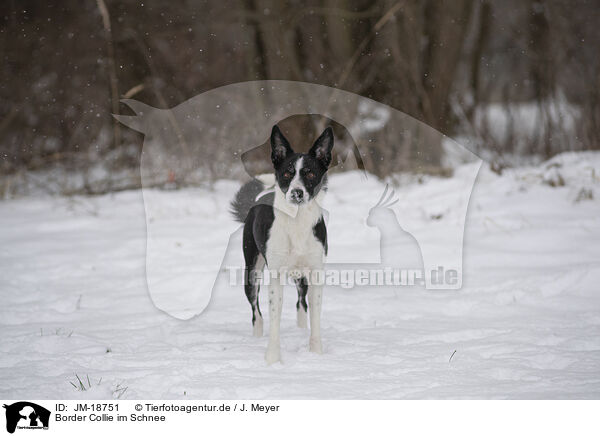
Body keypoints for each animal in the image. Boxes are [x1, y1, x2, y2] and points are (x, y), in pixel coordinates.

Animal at [231, 124, 336, 362]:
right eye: (287, 173)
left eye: (310, 173)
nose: (297, 193)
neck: (297, 221)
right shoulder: (276, 275)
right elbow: (274, 317)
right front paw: (272, 359)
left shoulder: (315, 272)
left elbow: (315, 316)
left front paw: (316, 354)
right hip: (251, 271)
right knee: (256, 312)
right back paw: (257, 336)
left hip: (301, 277)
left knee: (301, 303)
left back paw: (301, 329)